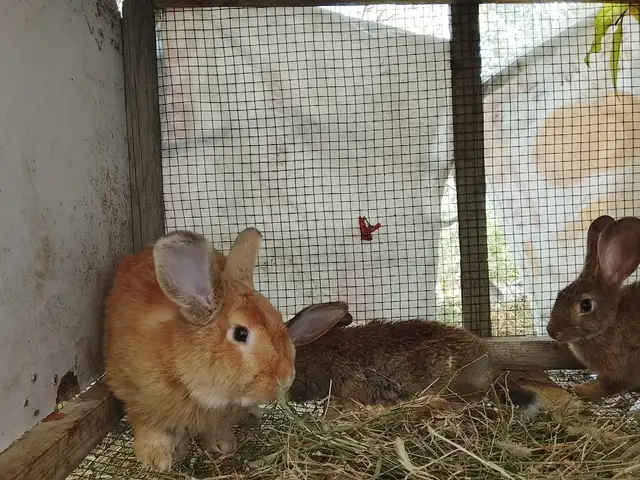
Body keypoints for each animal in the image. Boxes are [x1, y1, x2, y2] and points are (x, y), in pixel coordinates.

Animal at [103, 228, 318, 472]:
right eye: (241, 334)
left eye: (279, 317)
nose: (286, 377)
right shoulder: (139, 400)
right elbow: (149, 428)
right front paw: (157, 460)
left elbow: (216, 428)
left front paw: (223, 445)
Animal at [547, 215, 640, 399]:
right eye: (559, 294)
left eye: (585, 305)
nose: (551, 331)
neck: (611, 322)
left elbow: (609, 386)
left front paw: (582, 389)